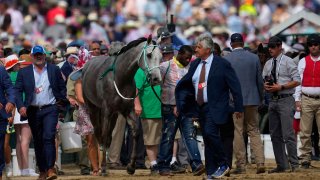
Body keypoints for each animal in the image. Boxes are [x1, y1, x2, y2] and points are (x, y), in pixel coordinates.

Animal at [81, 36, 161, 174]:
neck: (120, 77)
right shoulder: (106, 111)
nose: (156, 78)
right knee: (99, 133)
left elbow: (136, 132)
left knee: (108, 137)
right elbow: (104, 134)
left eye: (160, 56)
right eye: (149, 55)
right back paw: (98, 167)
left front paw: (131, 166)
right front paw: (103, 168)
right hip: (93, 108)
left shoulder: (127, 110)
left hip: (114, 115)